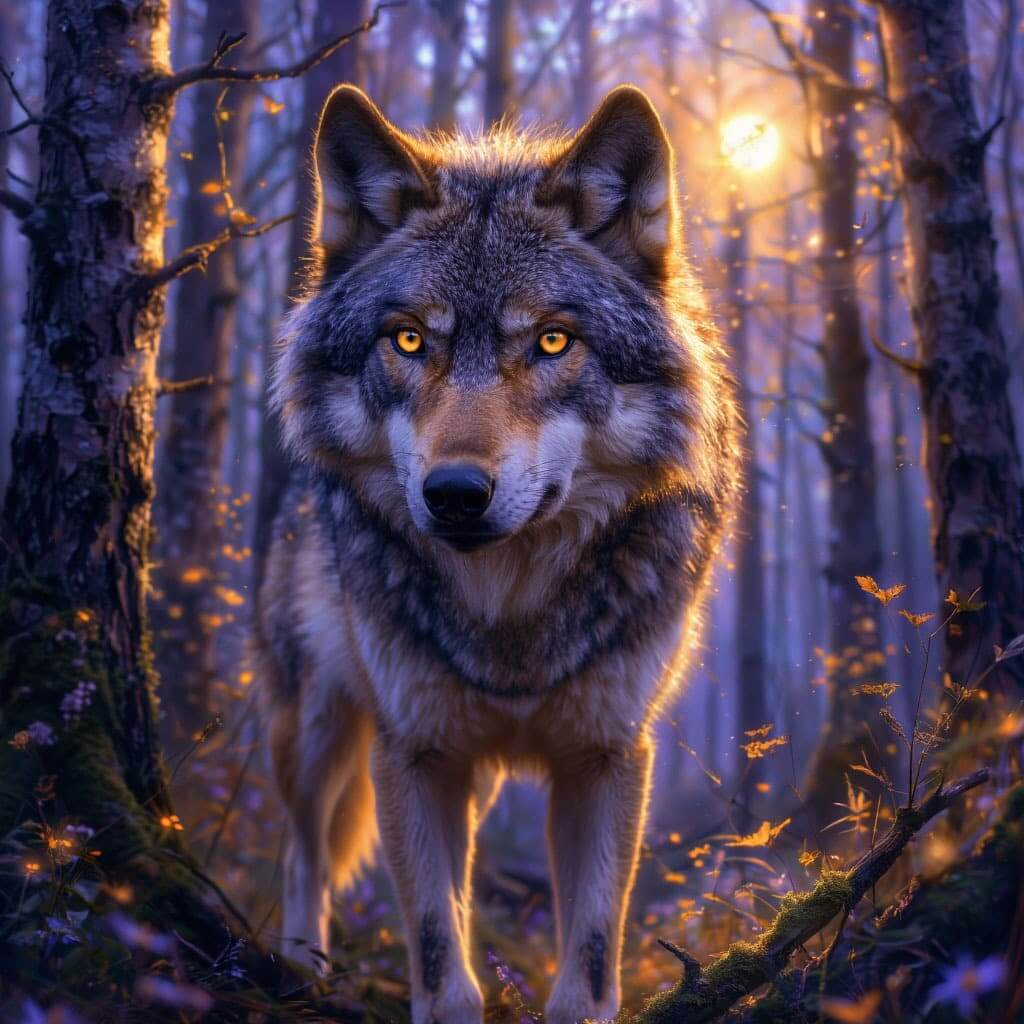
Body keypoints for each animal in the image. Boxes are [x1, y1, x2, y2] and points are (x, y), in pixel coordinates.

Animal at [253, 83, 740, 1024]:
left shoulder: (607, 754)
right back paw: (301, 970)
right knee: (303, 850)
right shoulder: (415, 749)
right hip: (318, 724)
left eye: (551, 341)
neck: (508, 612)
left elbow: (590, 953)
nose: (453, 493)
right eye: (409, 340)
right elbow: (440, 955)